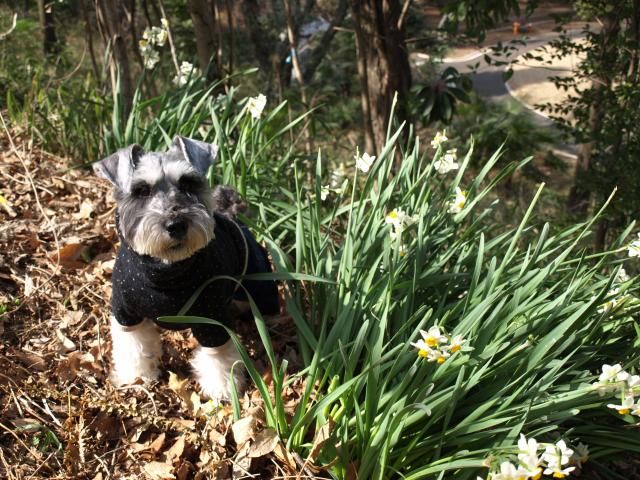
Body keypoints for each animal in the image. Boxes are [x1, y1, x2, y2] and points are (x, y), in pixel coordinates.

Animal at [94, 136, 278, 402]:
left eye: (188, 183)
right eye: (141, 190)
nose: (176, 224)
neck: (165, 272)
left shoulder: (212, 318)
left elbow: (217, 356)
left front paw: (222, 388)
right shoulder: (127, 314)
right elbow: (134, 346)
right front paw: (135, 376)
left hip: (260, 288)